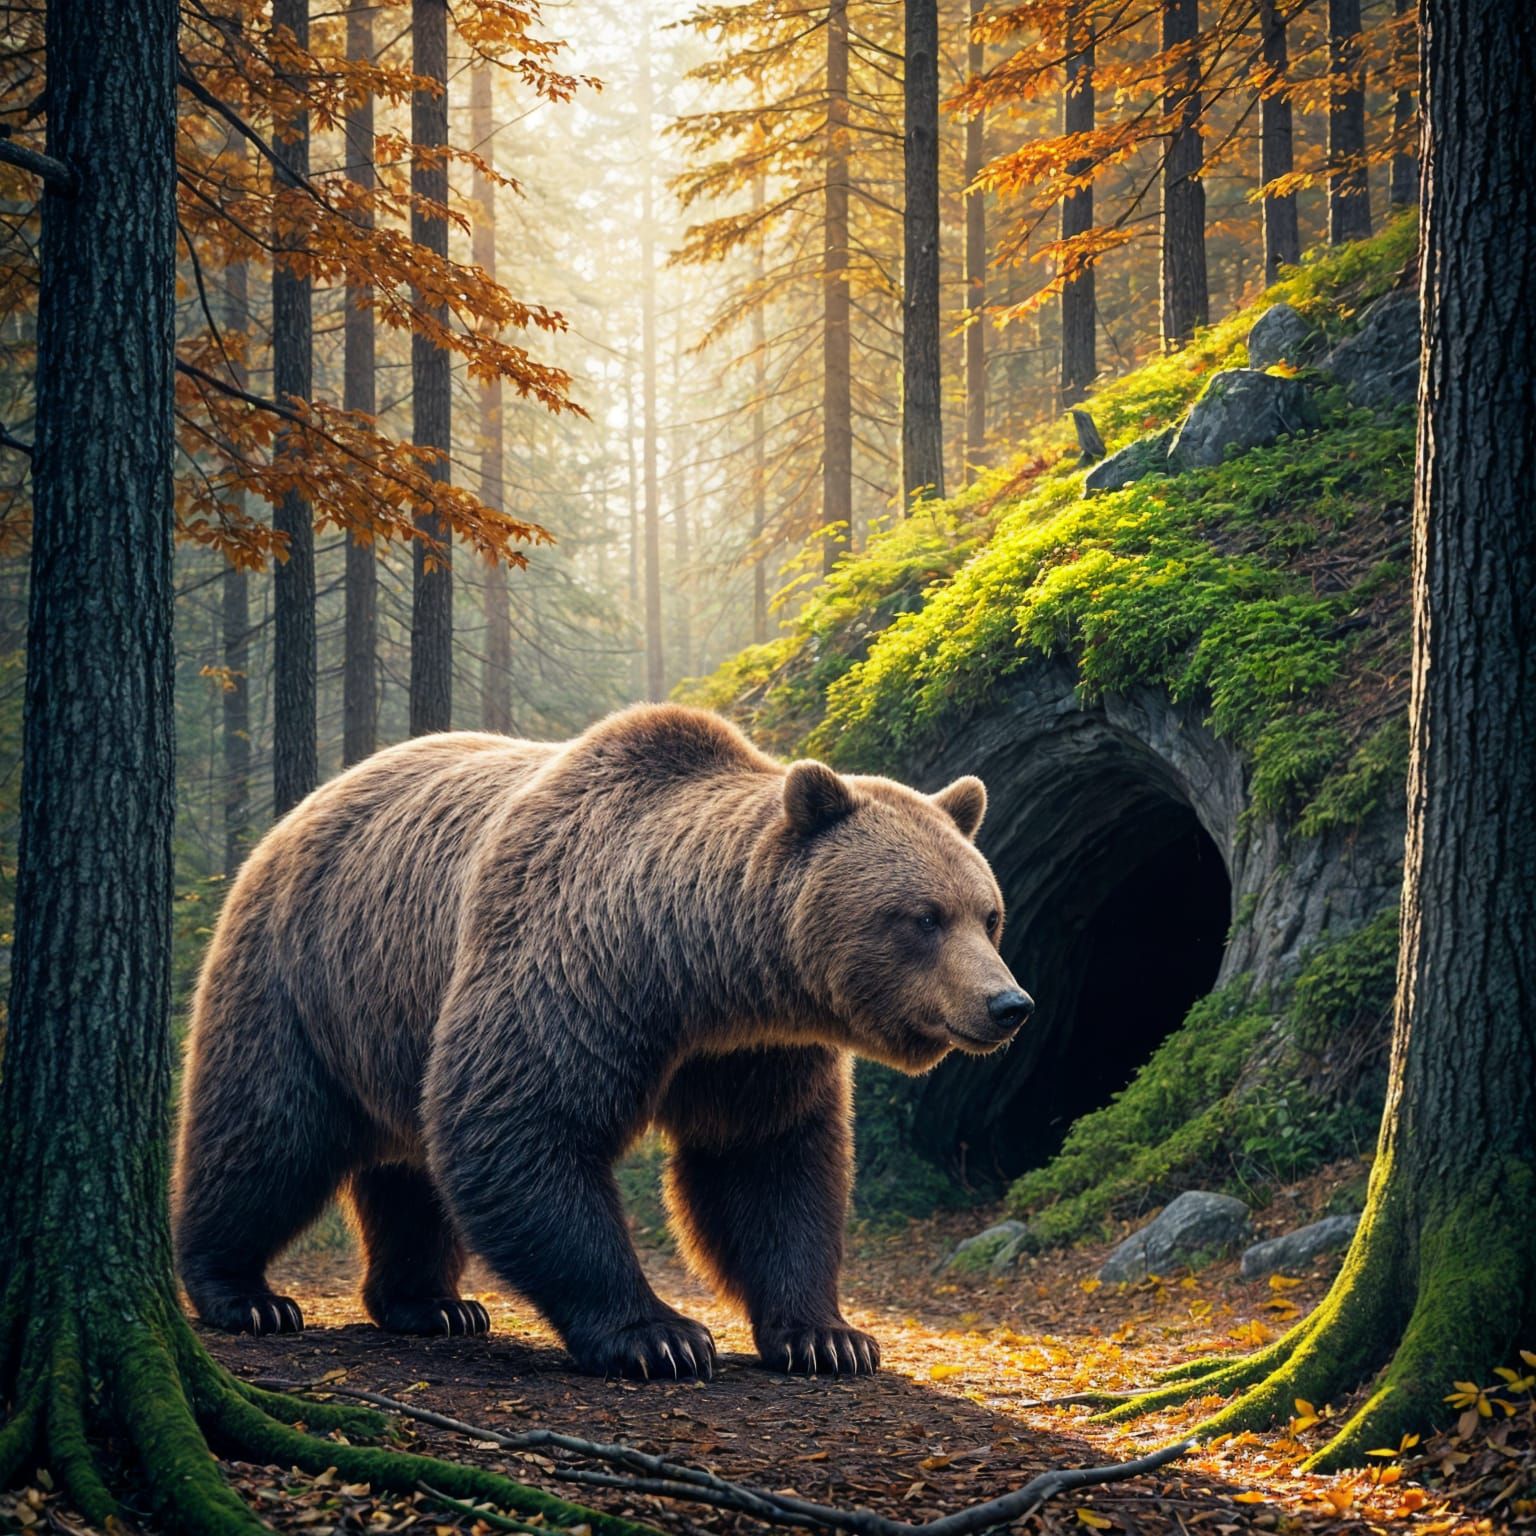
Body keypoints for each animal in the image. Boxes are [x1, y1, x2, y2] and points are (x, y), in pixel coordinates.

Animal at [172, 703, 1033, 1379]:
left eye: (987, 912)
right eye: (922, 916)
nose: (1008, 1004)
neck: (699, 976)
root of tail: (295, 812)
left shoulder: (752, 1054)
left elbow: (767, 1161)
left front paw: (828, 1337)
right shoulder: (574, 966)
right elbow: (524, 1126)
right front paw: (662, 1337)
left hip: (388, 1016)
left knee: (407, 1168)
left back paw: (434, 1304)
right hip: (298, 979)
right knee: (265, 1134)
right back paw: (244, 1293)